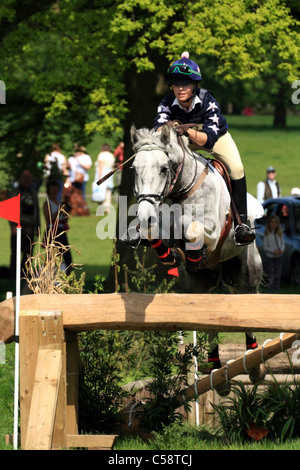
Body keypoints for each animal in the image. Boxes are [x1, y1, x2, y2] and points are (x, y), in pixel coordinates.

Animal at [128, 124, 264, 392]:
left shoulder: (212, 228)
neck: (181, 191)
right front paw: (172, 254)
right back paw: (215, 369)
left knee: (248, 296)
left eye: (164, 168)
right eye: (135, 169)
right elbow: (161, 235)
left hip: (246, 272)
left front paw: (191, 251)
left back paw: (254, 364)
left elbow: (193, 229)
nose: (145, 215)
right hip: (199, 284)